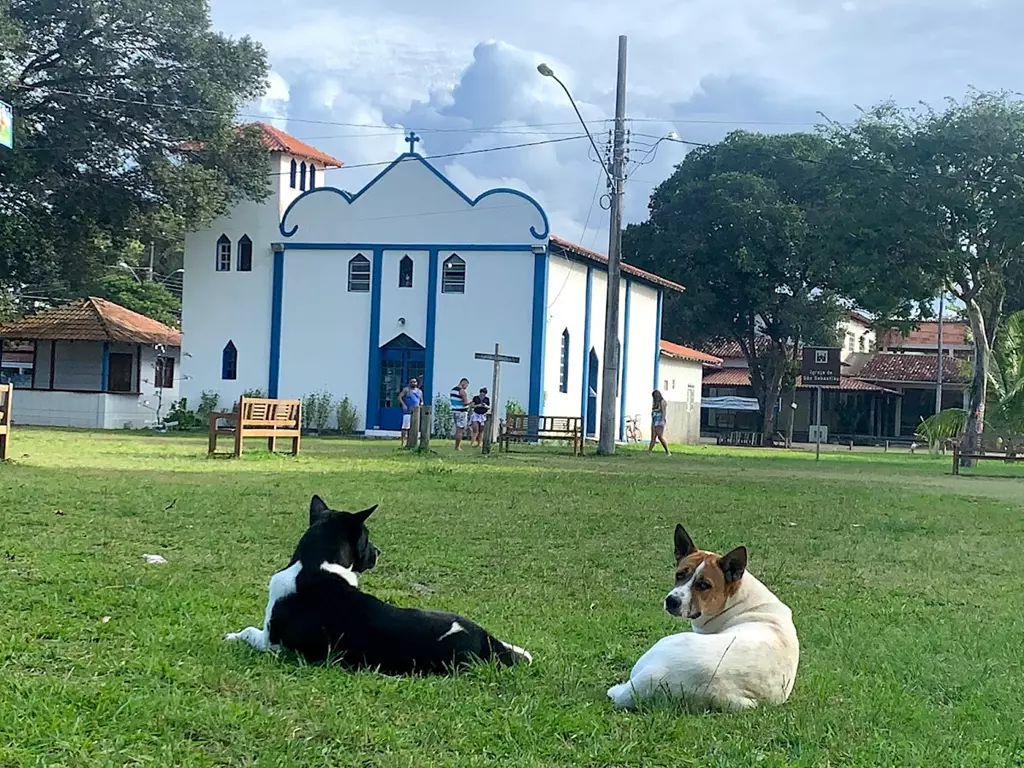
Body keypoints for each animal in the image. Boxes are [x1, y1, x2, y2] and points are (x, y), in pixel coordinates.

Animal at [227, 499, 532, 671]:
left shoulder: (272, 645)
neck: (315, 564)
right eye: (367, 537)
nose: (379, 552)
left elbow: (249, 631)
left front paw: (231, 636)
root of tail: (484, 639)